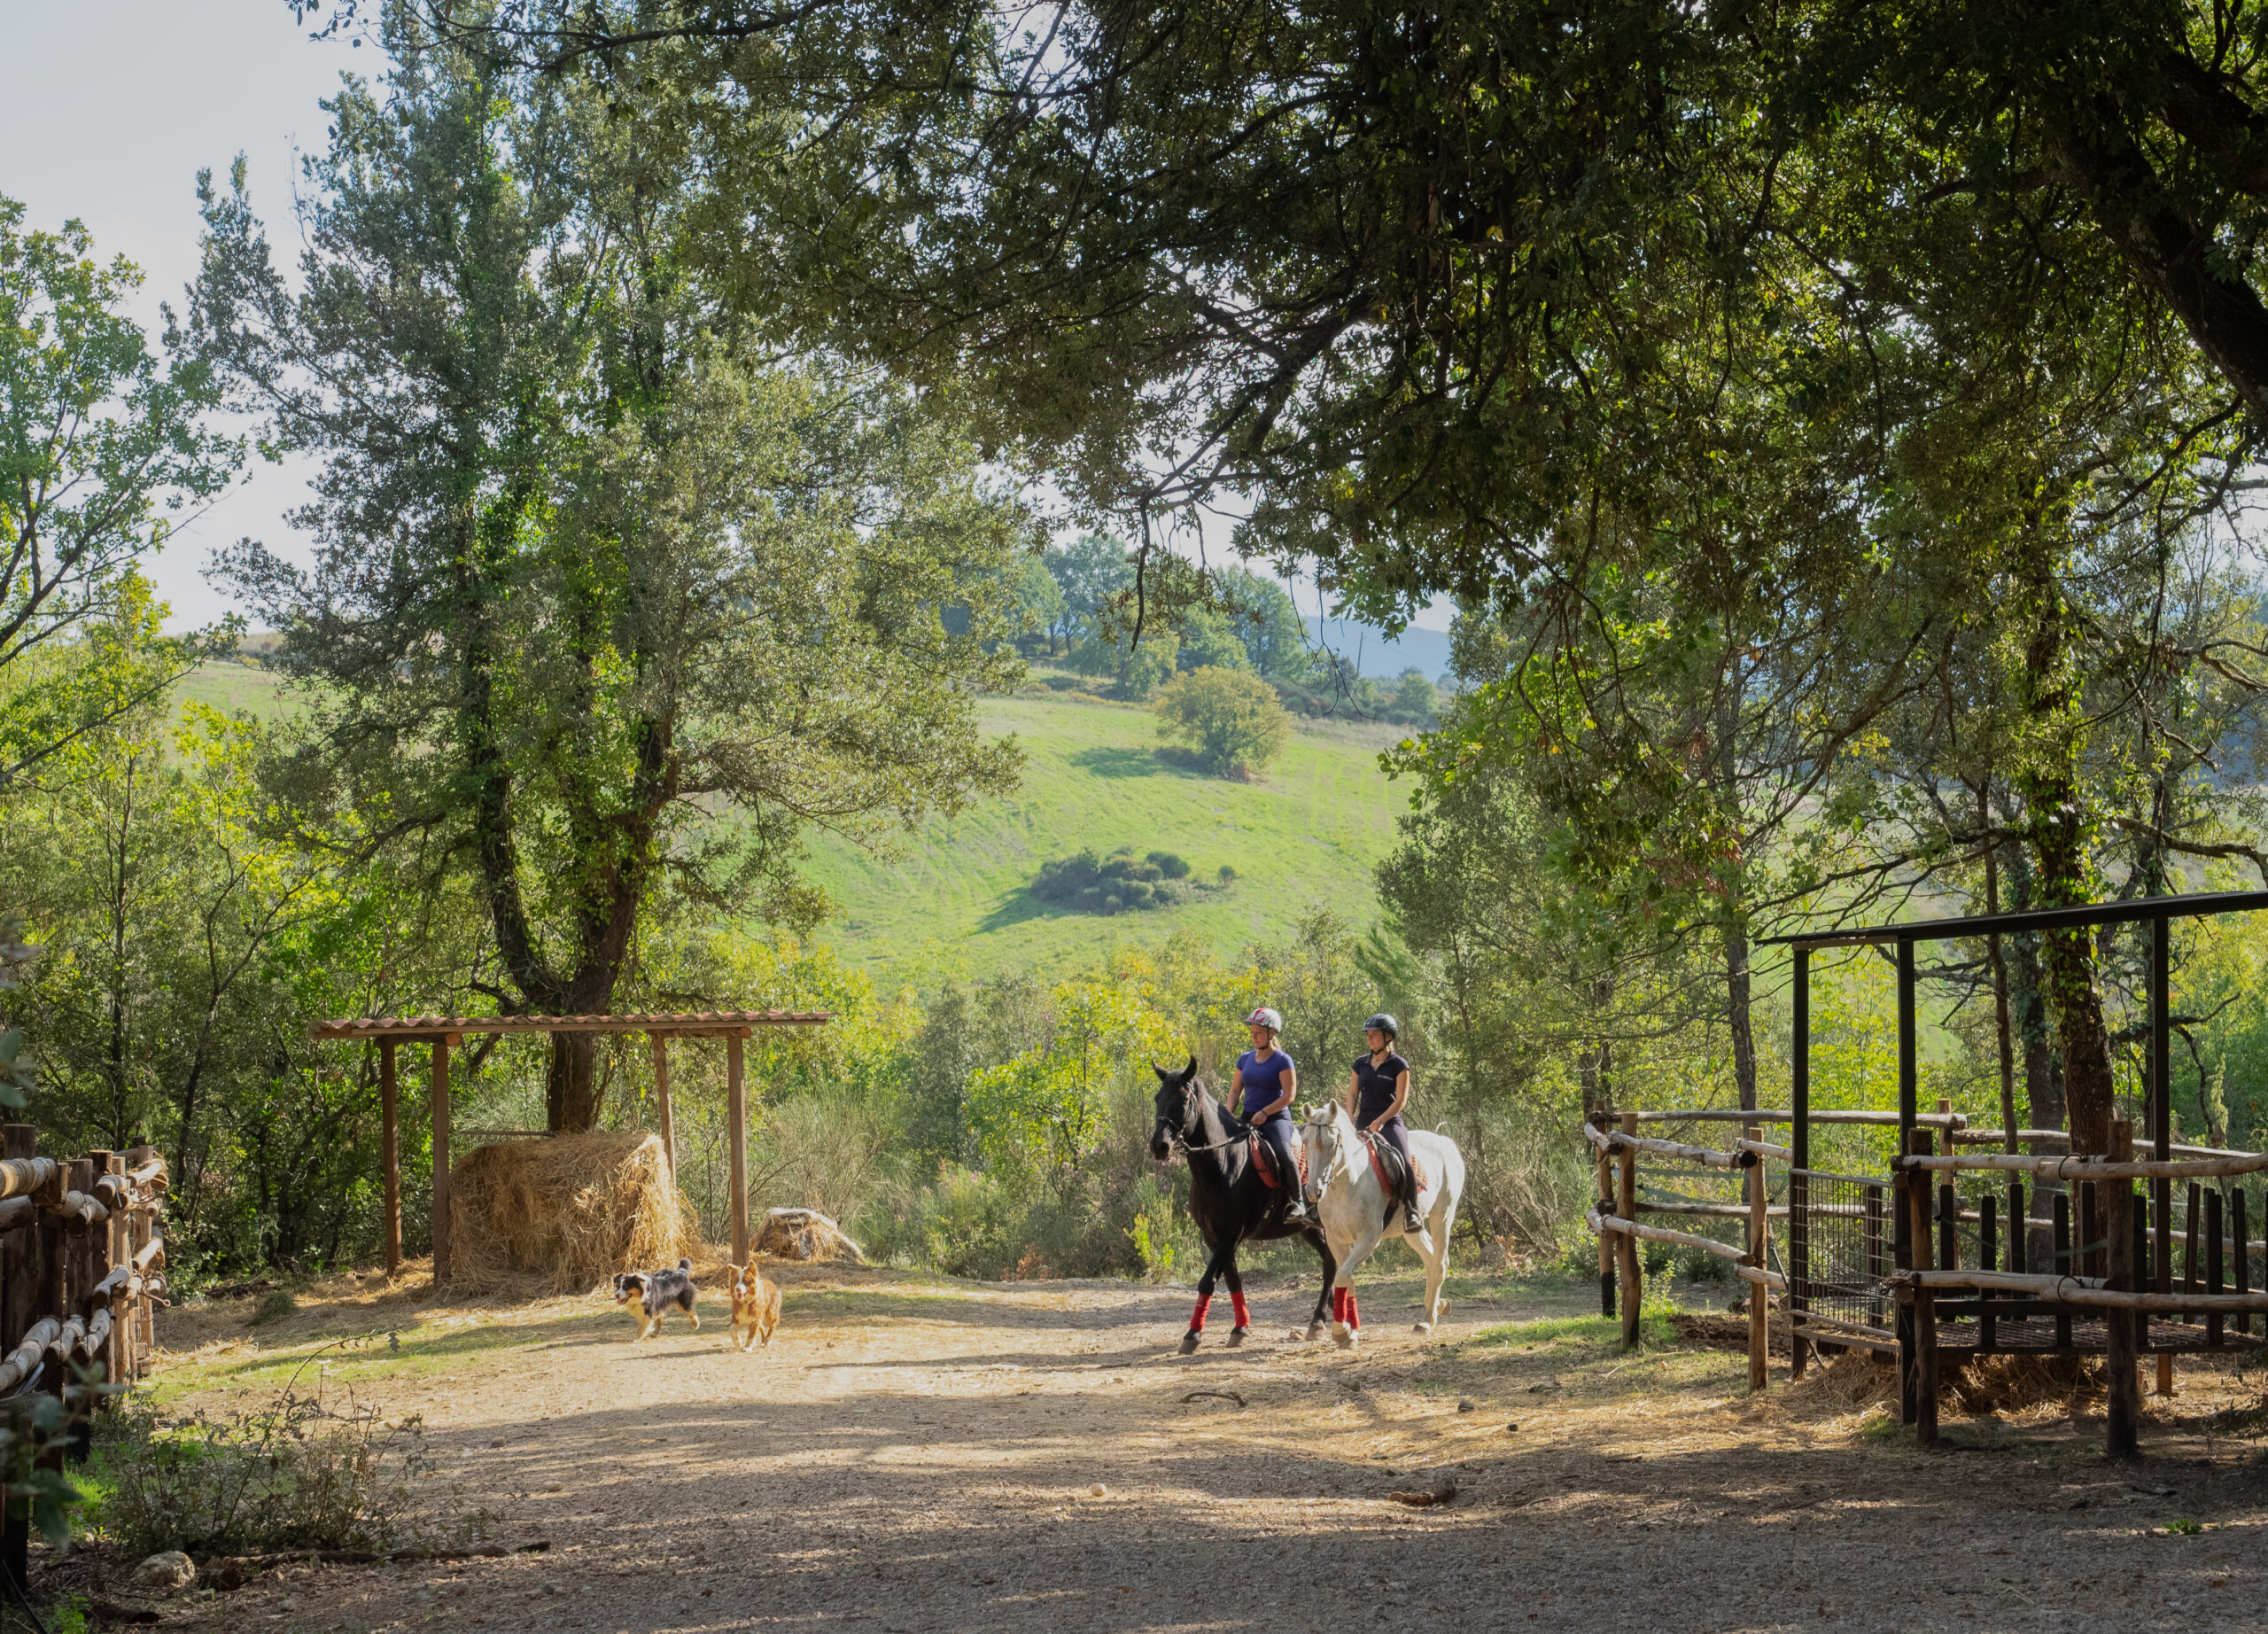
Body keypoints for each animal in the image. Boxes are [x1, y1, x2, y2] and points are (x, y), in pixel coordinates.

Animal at [1143, 1057, 1333, 1352]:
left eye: (1184, 1099)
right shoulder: (1213, 1236)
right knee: (1330, 1262)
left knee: (1332, 1263)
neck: (1223, 1164)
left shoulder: (1232, 1233)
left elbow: (1208, 1281)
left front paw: (1192, 1335)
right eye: (1157, 1098)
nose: (1159, 1146)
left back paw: (1320, 1320)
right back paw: (1326, 1315)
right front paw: (1240, 1328)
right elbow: (1232, 1279)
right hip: (1309, 1229)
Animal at [1297, 1098, 1469, 1352]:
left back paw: (1427, 1321)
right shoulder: (1336, 1240)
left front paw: (1342, 1331)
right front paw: (1348, 1331)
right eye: (1306, 1141)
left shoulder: (1369, 1238)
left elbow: (1342, 1277)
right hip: (1412, 1230)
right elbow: (1347, 1280)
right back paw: (1437, 1305)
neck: (1347, 1184)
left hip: (1443, 1215)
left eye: (1332, 1143)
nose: (1313, 1191)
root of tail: (1445, 1142)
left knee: (1438, 1264)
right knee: (1430, 1259)